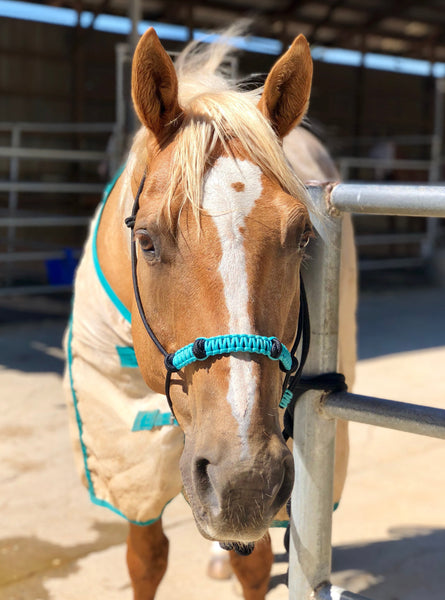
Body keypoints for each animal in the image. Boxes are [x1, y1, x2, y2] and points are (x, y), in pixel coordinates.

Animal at [64, 27, 356, 600]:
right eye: (147, 240)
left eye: (302, 237)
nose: (244, 481)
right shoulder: (129, 453)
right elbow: (146, 560)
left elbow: (254, 564)